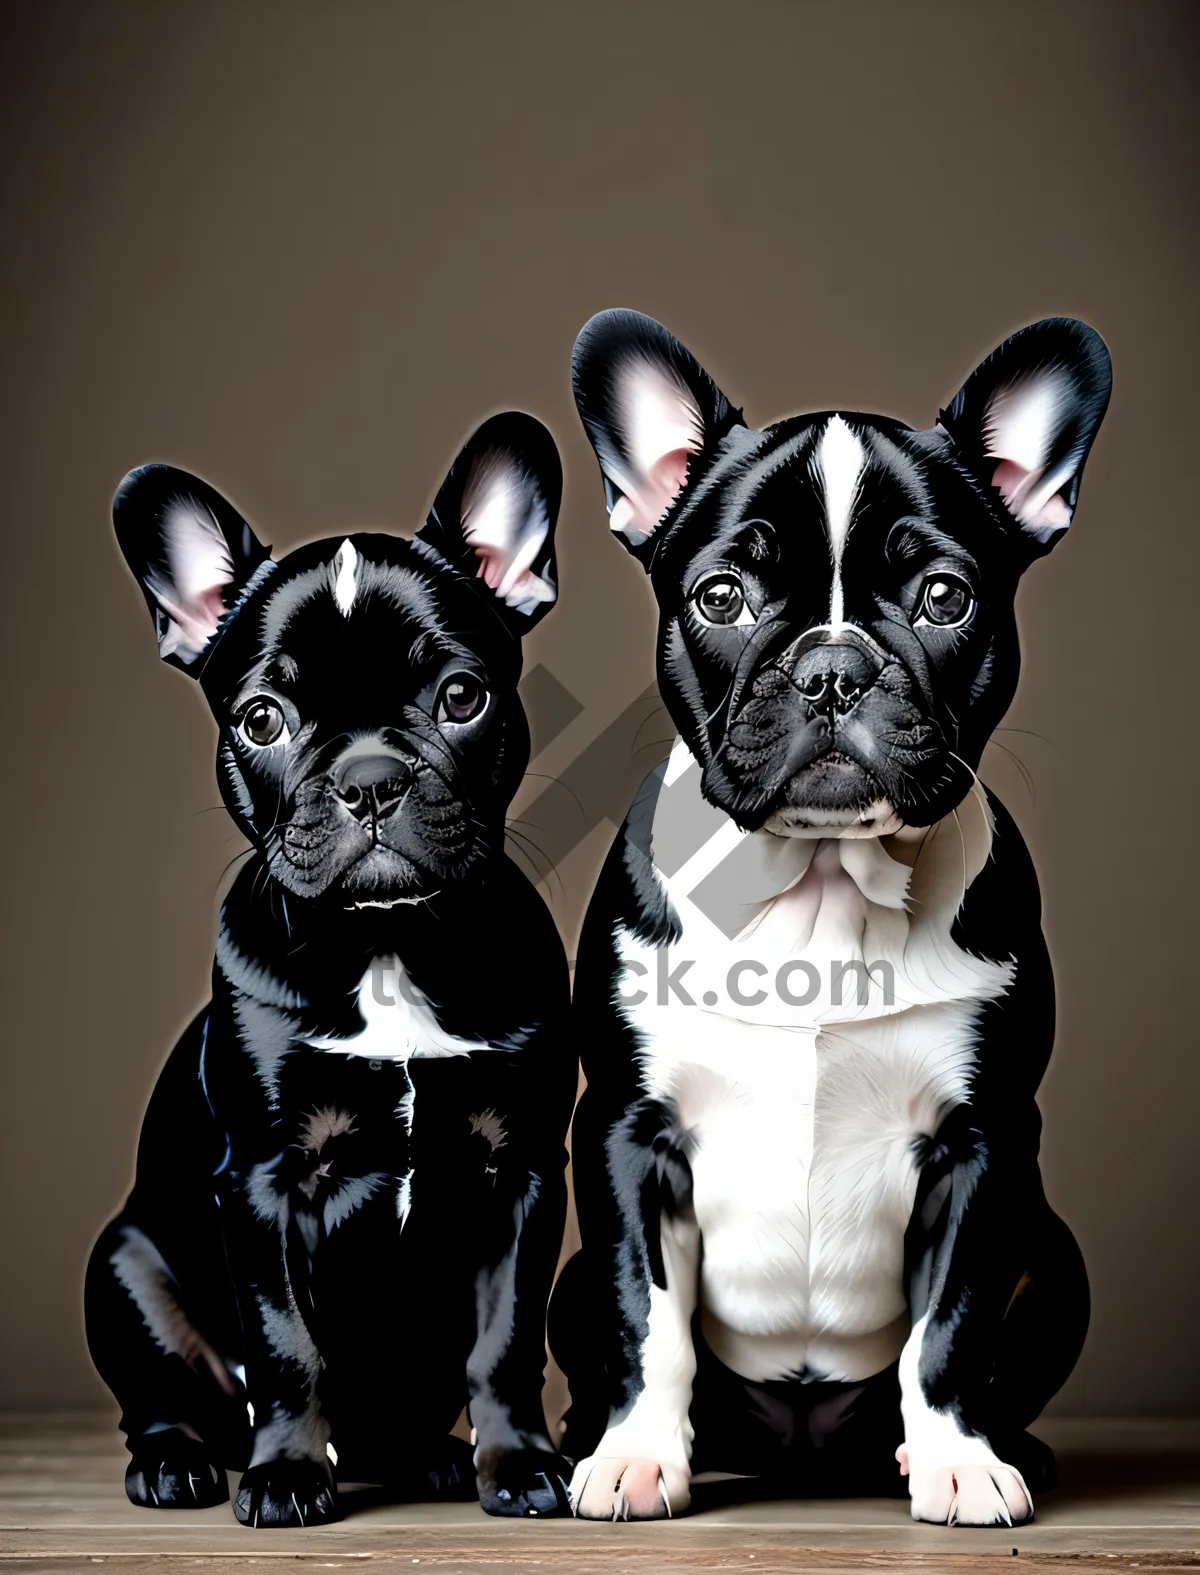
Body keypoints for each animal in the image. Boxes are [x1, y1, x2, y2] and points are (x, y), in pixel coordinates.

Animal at [84, 412, 576, 1518]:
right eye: (262, 719)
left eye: (462, 696)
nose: (371, 778)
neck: (386, 944)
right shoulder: (266, 1178)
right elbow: (286, 1346)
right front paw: (285, 1475)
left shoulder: (524, 1171)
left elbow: (505, 1339)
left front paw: (521, 1463)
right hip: (124, 1271)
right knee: (167, 1396)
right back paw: (178, 1462)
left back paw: (430, 1456)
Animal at [548, 310, 1102, 1524]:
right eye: (721, 597)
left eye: (945, 598)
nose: (837, 668)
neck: (819, 884)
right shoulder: (624, 1134)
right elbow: (645, 1318)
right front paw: (633, 1458)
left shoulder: (983, 1145)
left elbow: (949, 1327)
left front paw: (959, 1461)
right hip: (563, 1281)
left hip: (1057, 1261)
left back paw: (997, 1448)